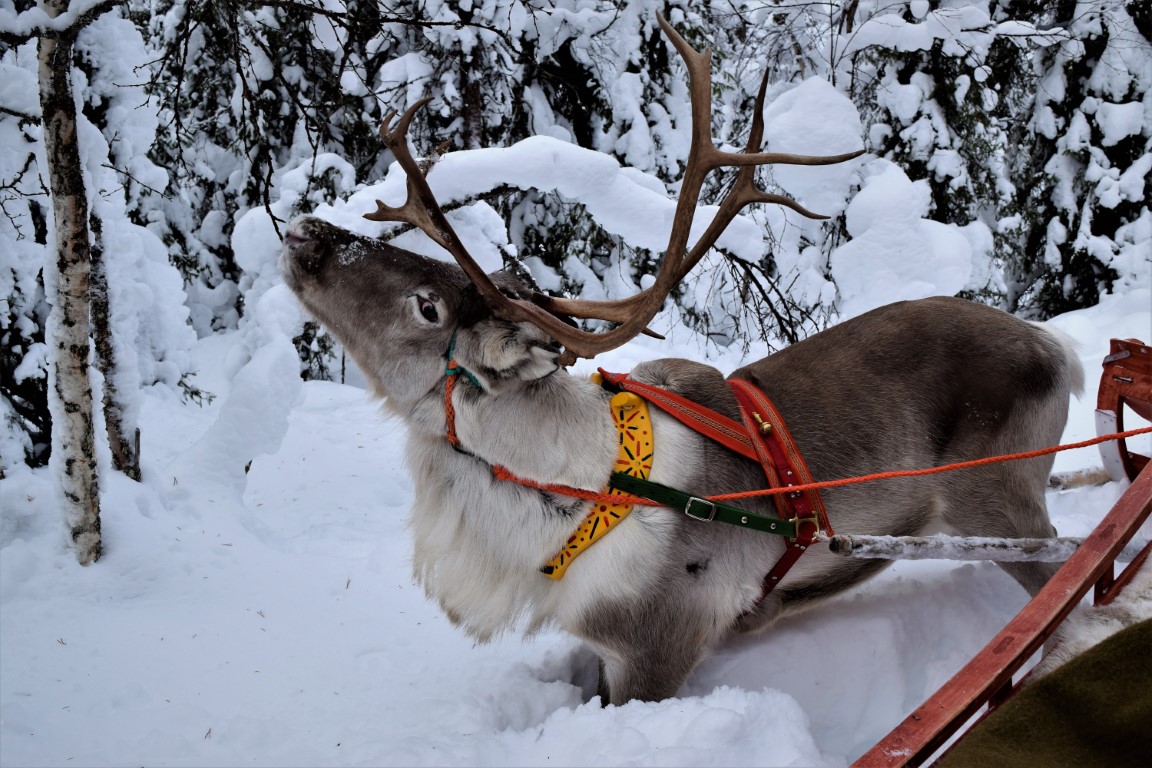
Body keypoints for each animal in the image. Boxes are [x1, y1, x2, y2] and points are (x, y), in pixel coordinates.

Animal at [279, 16, 1083, 705]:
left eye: (427, 307)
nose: (306, 231)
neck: (578, 495)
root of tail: (1057, 349)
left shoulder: (658, 650)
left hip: (998, 503)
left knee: (1062, 576)